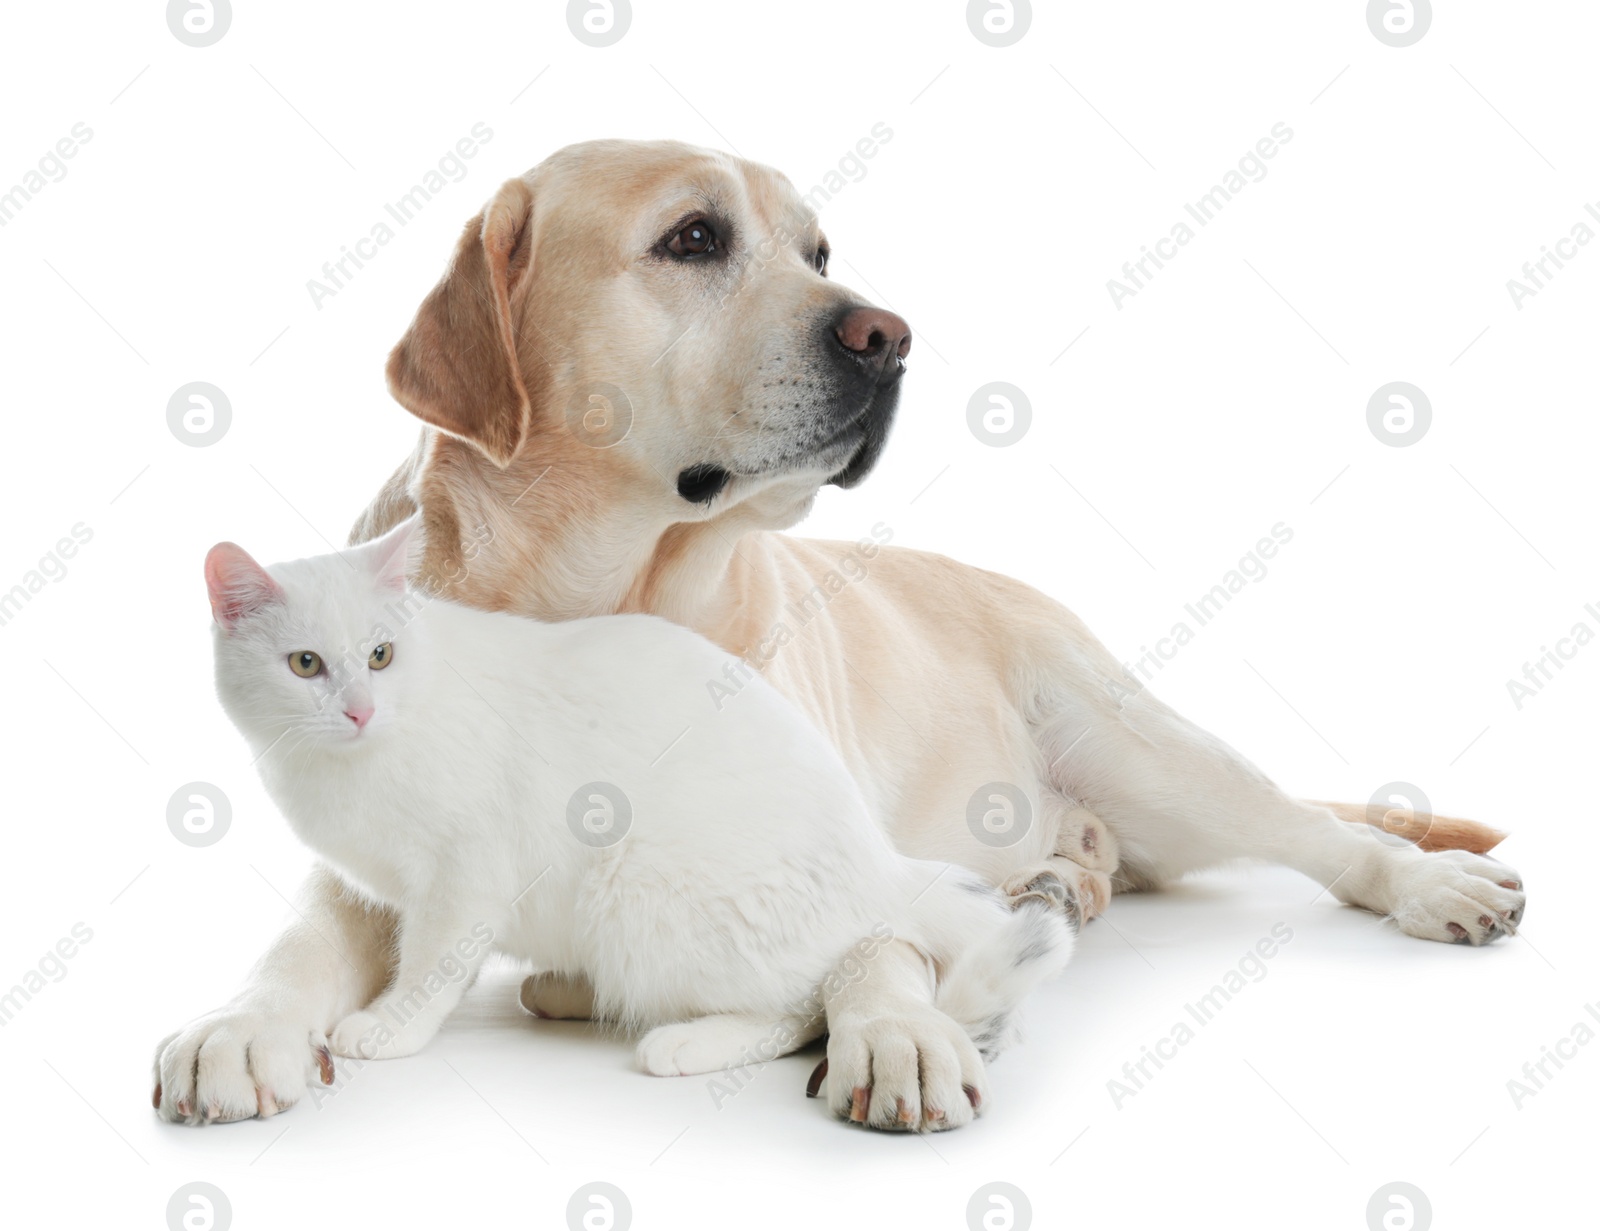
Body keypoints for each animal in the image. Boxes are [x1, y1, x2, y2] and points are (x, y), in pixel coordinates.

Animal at [159, 518, 1075, 1133]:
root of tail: (882, 857)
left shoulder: (465, 872)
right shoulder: (381, 891)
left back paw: (680, 1041)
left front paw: (389, 1028)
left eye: (381, 654)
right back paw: (568, 988)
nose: (357, 708)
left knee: (805, 1002)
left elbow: (432, 965)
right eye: (305, 664)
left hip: (645, 897)